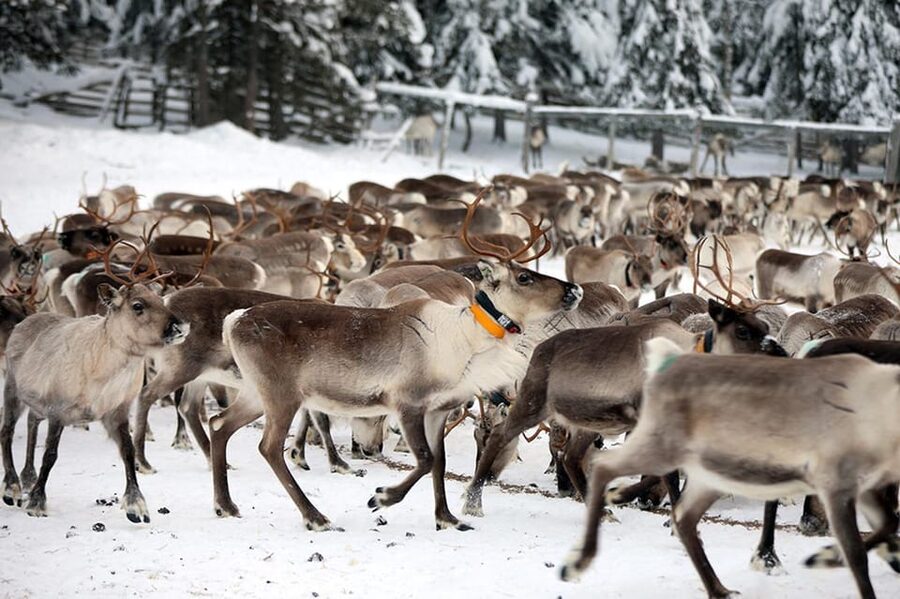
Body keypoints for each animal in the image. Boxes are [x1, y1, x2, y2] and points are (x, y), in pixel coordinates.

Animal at [1, 238, 189, 522]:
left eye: (161, 299)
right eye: (138, 305)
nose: (180, 327)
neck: (104, 374)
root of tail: (25, 321)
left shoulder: (117, 411)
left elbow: (128, 452)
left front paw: (136, 505)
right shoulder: (58, 410)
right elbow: (51, 455)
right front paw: (37, 502)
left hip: (36, 402)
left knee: (32, 423)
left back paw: (28, 477)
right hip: (12, 388)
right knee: (7, 431)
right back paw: (11, 487)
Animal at [210, 192, 582, 531]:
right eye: (524, 278)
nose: (575, 290)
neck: (465, 340)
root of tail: (233, 321)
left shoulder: (437, 410)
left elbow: (439, 461)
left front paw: (446, 518)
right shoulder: (407, 402)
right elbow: (425, 459)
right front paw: (381, 497)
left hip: (255, 392)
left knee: (219, 424)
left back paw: (225, 505)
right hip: (281, 394)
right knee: (269, 447)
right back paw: (316, 517)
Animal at [559, 342, 900, 599]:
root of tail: (665, 364)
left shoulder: (865, 485)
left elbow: (887, 523)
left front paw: (827, 556)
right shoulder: (834, 481)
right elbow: (857, 555)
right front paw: (830, 557)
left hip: (709, 475)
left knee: (683, 517)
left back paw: (719, 589)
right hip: (661, 445)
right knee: (604, 467)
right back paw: (578, 560)